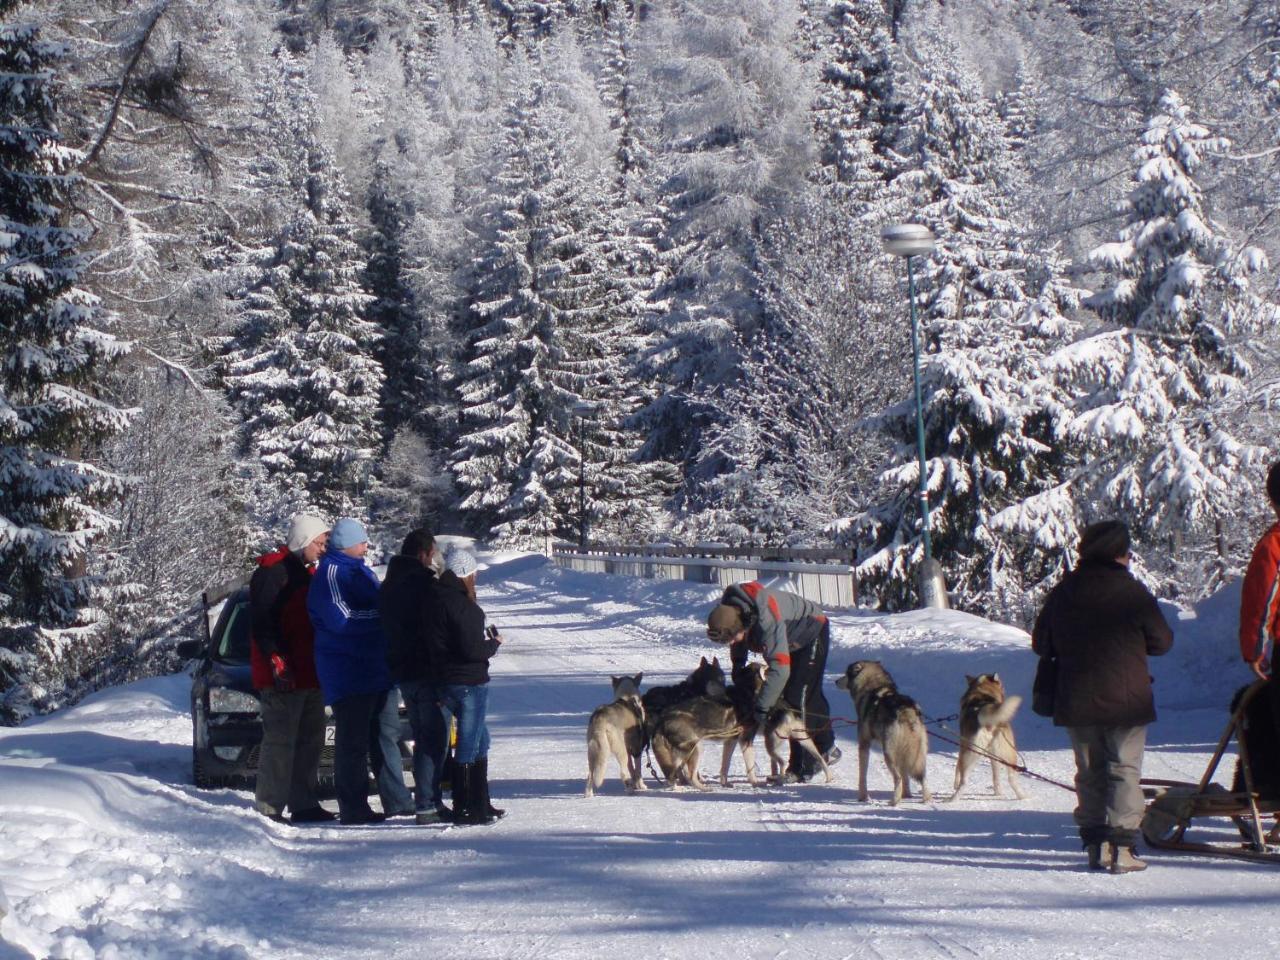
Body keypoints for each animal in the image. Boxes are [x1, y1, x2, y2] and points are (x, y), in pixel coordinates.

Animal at [588, 670, 650, 798]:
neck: (628, 697)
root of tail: (600, 718)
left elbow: (632, 769)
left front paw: (635, 784)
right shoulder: (637, 750)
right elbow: (638, 771)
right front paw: (641, 786)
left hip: (593, 751)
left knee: (590, 774)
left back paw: (589, 795)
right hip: (620, 750)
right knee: (622, 773)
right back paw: (630, 790)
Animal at [829, 660, 931, 803]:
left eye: (846, 674)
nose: (836, 681)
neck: (874, 686)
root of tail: (905, 709)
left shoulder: (864, 745)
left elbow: (862, 776)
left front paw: (863, 797)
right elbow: (906, 777)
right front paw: (907, 795)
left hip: (888, 753)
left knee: (898, 778)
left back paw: (894, 802)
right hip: (917, 754)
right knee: (922, 777)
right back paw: (925, 799)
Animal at [952, 675, 1029, 803]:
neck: (981, 691)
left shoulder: (962, 747)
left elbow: (957, 769)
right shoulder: (994, 757)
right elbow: (996, 776)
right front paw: (998, 792)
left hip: (969, 754)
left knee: (964, 781)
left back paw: (952, 799)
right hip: (1009, 755)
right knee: (1012, 779)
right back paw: (1022, 796)